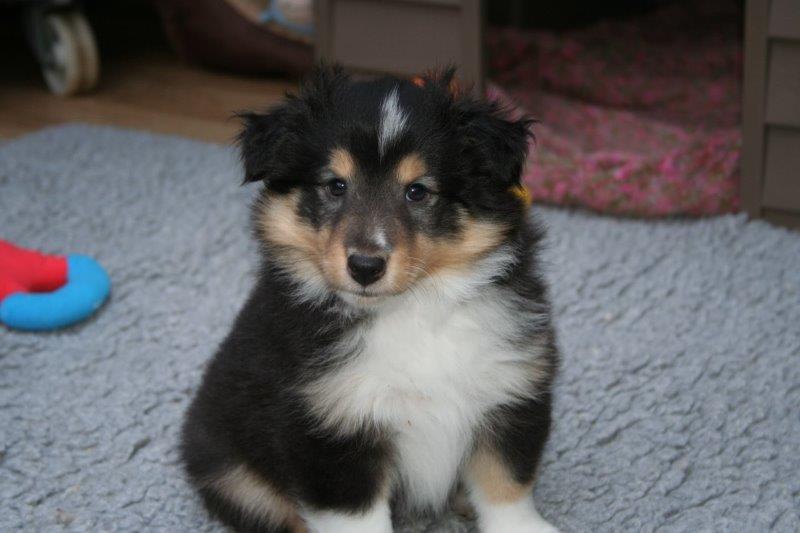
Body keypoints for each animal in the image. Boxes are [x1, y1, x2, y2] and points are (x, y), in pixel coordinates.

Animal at [181, 66, 560, 533]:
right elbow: (357, 519)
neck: (411, 308)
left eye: (418, 191)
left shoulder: (510, 390)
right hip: (232, 473)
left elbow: (505, 484)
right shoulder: (331, 427)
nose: (364, 266)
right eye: (335, 186)